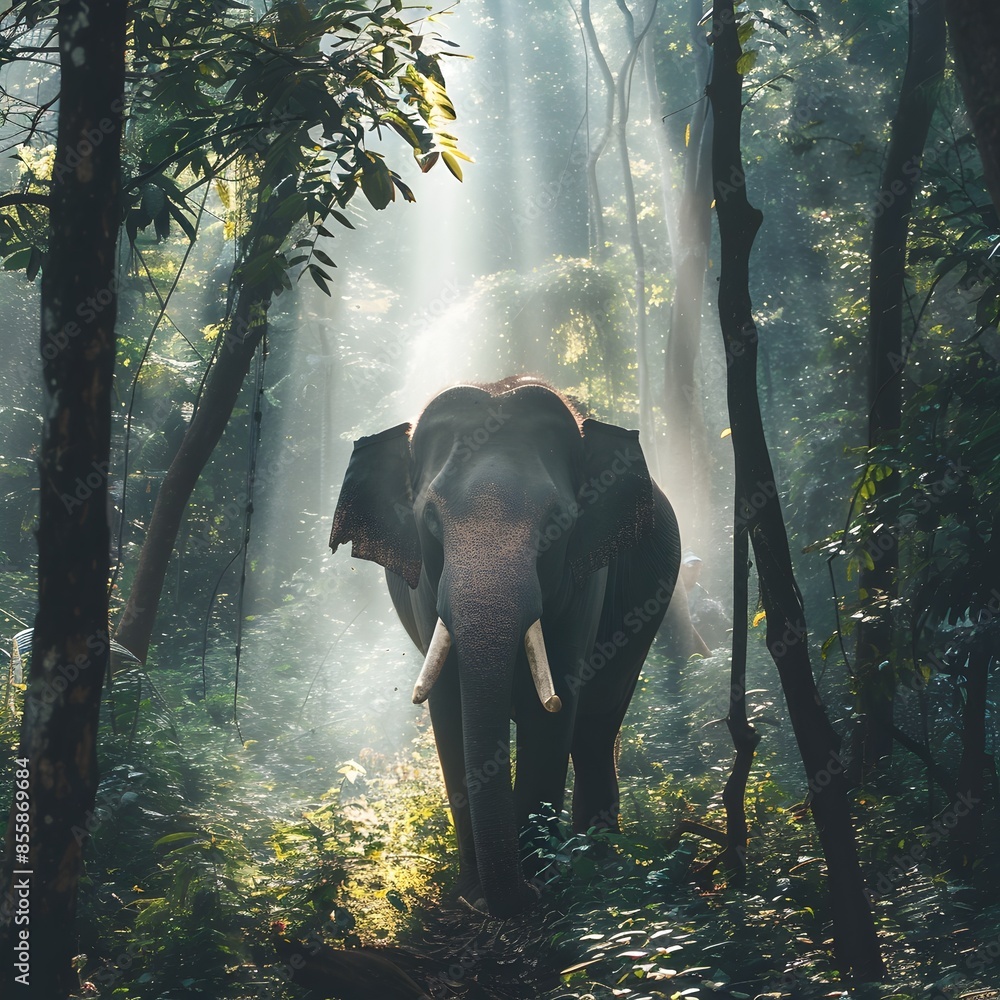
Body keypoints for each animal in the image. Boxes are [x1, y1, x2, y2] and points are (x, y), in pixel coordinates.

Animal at [329, 376, 687, 918]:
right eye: (429, 521)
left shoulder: (588, 579)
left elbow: (555, 708)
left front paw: (539, 889)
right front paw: (475, 896)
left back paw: (598, 868)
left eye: (558, 522)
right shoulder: (425, 591)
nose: (525, 893)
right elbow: (448, 711)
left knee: (596, 728)